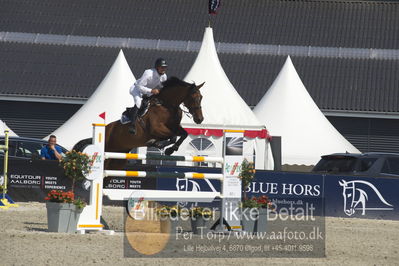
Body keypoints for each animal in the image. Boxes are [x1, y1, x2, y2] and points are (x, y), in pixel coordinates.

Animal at [74, 76, 205, 169]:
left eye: (201, 97)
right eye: (193, 97)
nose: (200, 119)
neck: (166, 105)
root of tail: (106, 128)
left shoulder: (175, 127)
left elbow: (183, 134)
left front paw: (169, 149)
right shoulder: (156, 129)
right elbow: (171, 137)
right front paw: (159, 145)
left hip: (118, 159)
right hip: (108, 152)